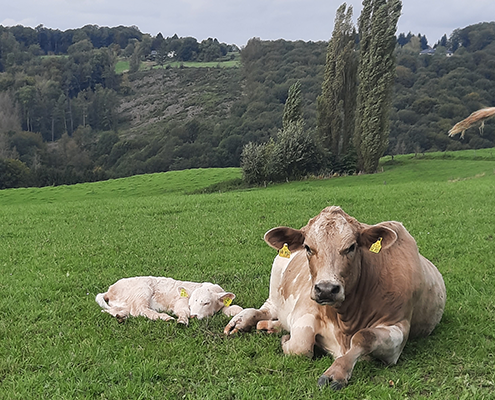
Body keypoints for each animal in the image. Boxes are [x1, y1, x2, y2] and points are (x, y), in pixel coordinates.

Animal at [225, 208, 446, 390]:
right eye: (307, 247)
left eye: (351, 247)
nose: (326, 289)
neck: (346, 320)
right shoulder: (305, 312)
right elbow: (300, 346)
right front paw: (287, 340)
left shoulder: (398, 328)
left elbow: (364, 337)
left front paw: (336, 372)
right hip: (275, 289)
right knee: (265, 309)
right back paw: (241, 322)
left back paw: (271, 326)